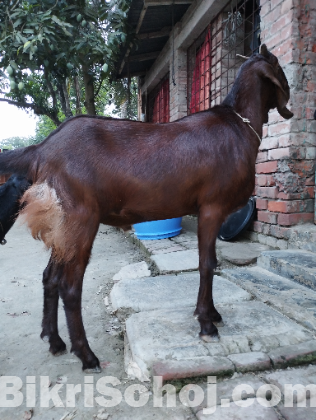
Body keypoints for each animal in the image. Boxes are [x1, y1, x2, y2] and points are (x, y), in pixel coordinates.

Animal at [0, 44, 292, 372]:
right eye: (278, 67)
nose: (290, 101)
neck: (238, 125)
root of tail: (42, 150)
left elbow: (210, 262)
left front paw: (212, 314)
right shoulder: (211, 207)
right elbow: (207, 263)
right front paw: (207, 324)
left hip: (62, 223)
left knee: (49, 277)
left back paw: (54, 341)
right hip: (80, 216)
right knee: (69, 285)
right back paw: (87, 356)